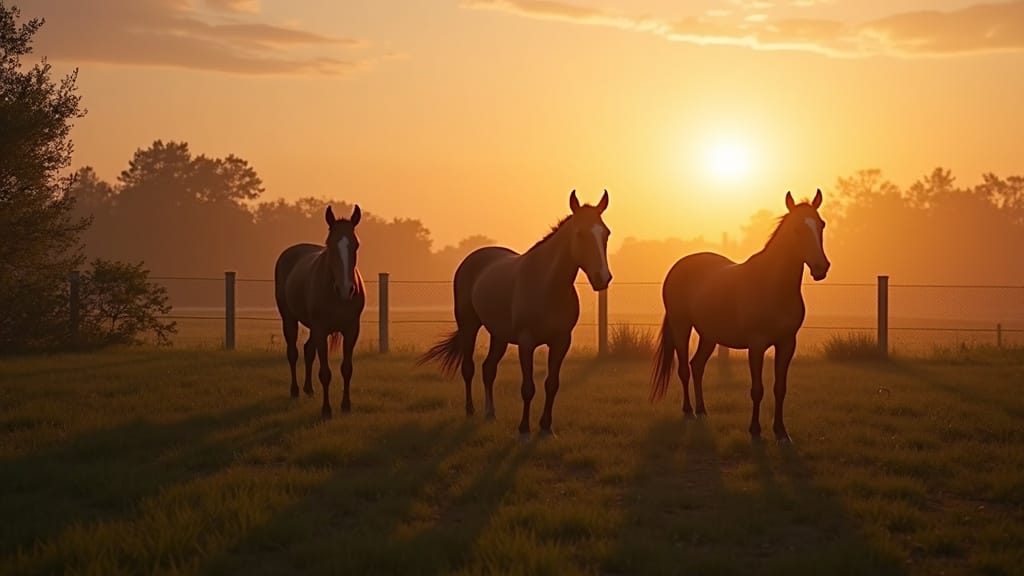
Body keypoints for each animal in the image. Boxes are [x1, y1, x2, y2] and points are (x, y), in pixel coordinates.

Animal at [274, 205, 365, 419]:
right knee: (293, 353)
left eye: (356, 245)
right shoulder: (321, 329)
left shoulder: (351, 330)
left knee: (308, 350)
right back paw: (295, 391)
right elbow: (325, 373)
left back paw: (308, 389)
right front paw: (326, 410)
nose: (346, 289)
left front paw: (346, 406)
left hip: (313, 329)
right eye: (330, 245)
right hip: (289, 319)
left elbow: (346, 369)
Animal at [418, 190, 612, 439]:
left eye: (605, 233)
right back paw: (470, 411)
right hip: (469, 326)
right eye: (580, 234)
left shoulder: (561, 342)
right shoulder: (526, 342)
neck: (547, 286)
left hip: (499, 335)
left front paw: (546, 427)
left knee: (488, 369)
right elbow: (528, 387)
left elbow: (552, 384)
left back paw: (490, 412)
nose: (603, 278)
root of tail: (473, 259)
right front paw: (524, 429)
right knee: (469, 368)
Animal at [650, 189, 830, 443]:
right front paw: (755, 430)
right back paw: (689, 412)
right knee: (684, 368)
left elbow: (780, 388)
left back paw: (702, 411)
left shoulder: (787, 343)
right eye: (797, 228)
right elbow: (757, 389)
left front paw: (781, 432)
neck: (773, 286)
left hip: (709, 335)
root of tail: (679, 267)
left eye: (821, 224)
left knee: (697, 366)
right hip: (681, 326)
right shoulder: (756, 345)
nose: (821, 267)